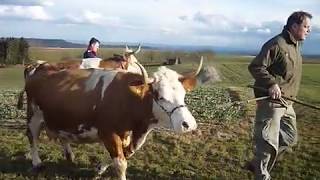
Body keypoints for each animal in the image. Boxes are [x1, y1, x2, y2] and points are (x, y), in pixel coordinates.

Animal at [23, 57, 202, 179]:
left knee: (62, 136)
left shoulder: (126, 135)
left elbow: (120, 155)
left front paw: (99, 169)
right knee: (32, 137)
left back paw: (69, 155)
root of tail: (38, 65)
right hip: (33, 115)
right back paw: (37, 162)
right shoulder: (108, 133)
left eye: (184, 95)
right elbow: (120, 163)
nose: (189, 124)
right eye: (161, 97)